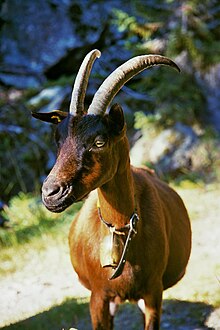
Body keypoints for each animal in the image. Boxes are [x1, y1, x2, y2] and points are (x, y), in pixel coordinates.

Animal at [32, 49, 191, 330]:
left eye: (99, 142)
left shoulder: (154, 293)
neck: (119, 228)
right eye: (58, 140)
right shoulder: (98, 297)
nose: (51, 193)